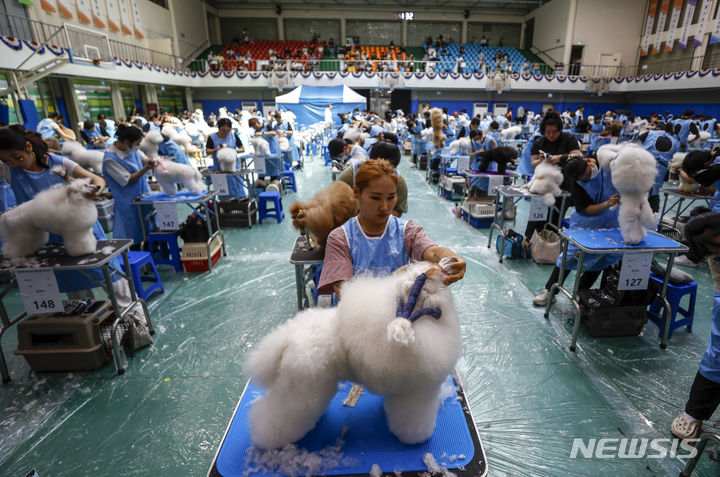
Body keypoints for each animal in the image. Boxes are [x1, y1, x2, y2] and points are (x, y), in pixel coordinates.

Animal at [245, 260, 462, 450]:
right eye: (437, 269)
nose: (451, 260)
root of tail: (286, 338)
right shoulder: (416, 392)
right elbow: (414, 421)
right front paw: (415, 438)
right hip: (301, 389)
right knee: (274, 419)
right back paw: (267, 439)